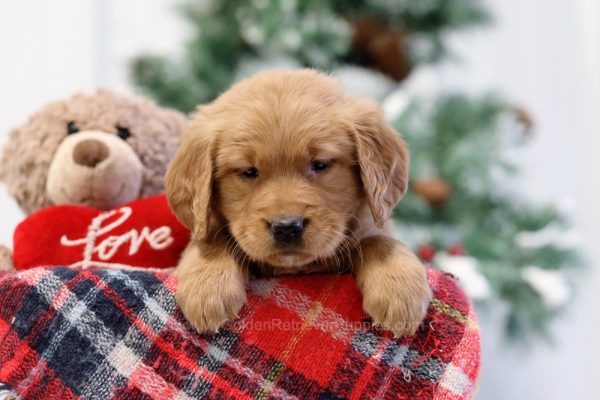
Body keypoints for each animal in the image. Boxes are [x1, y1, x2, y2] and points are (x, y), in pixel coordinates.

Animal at [166, 69, 434, 338]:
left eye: (320, 164)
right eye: (248, 172)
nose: (286, 227)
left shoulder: (371, 223)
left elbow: (377, 241)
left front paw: (399, 289)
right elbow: (213, 240)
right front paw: (208, 288)